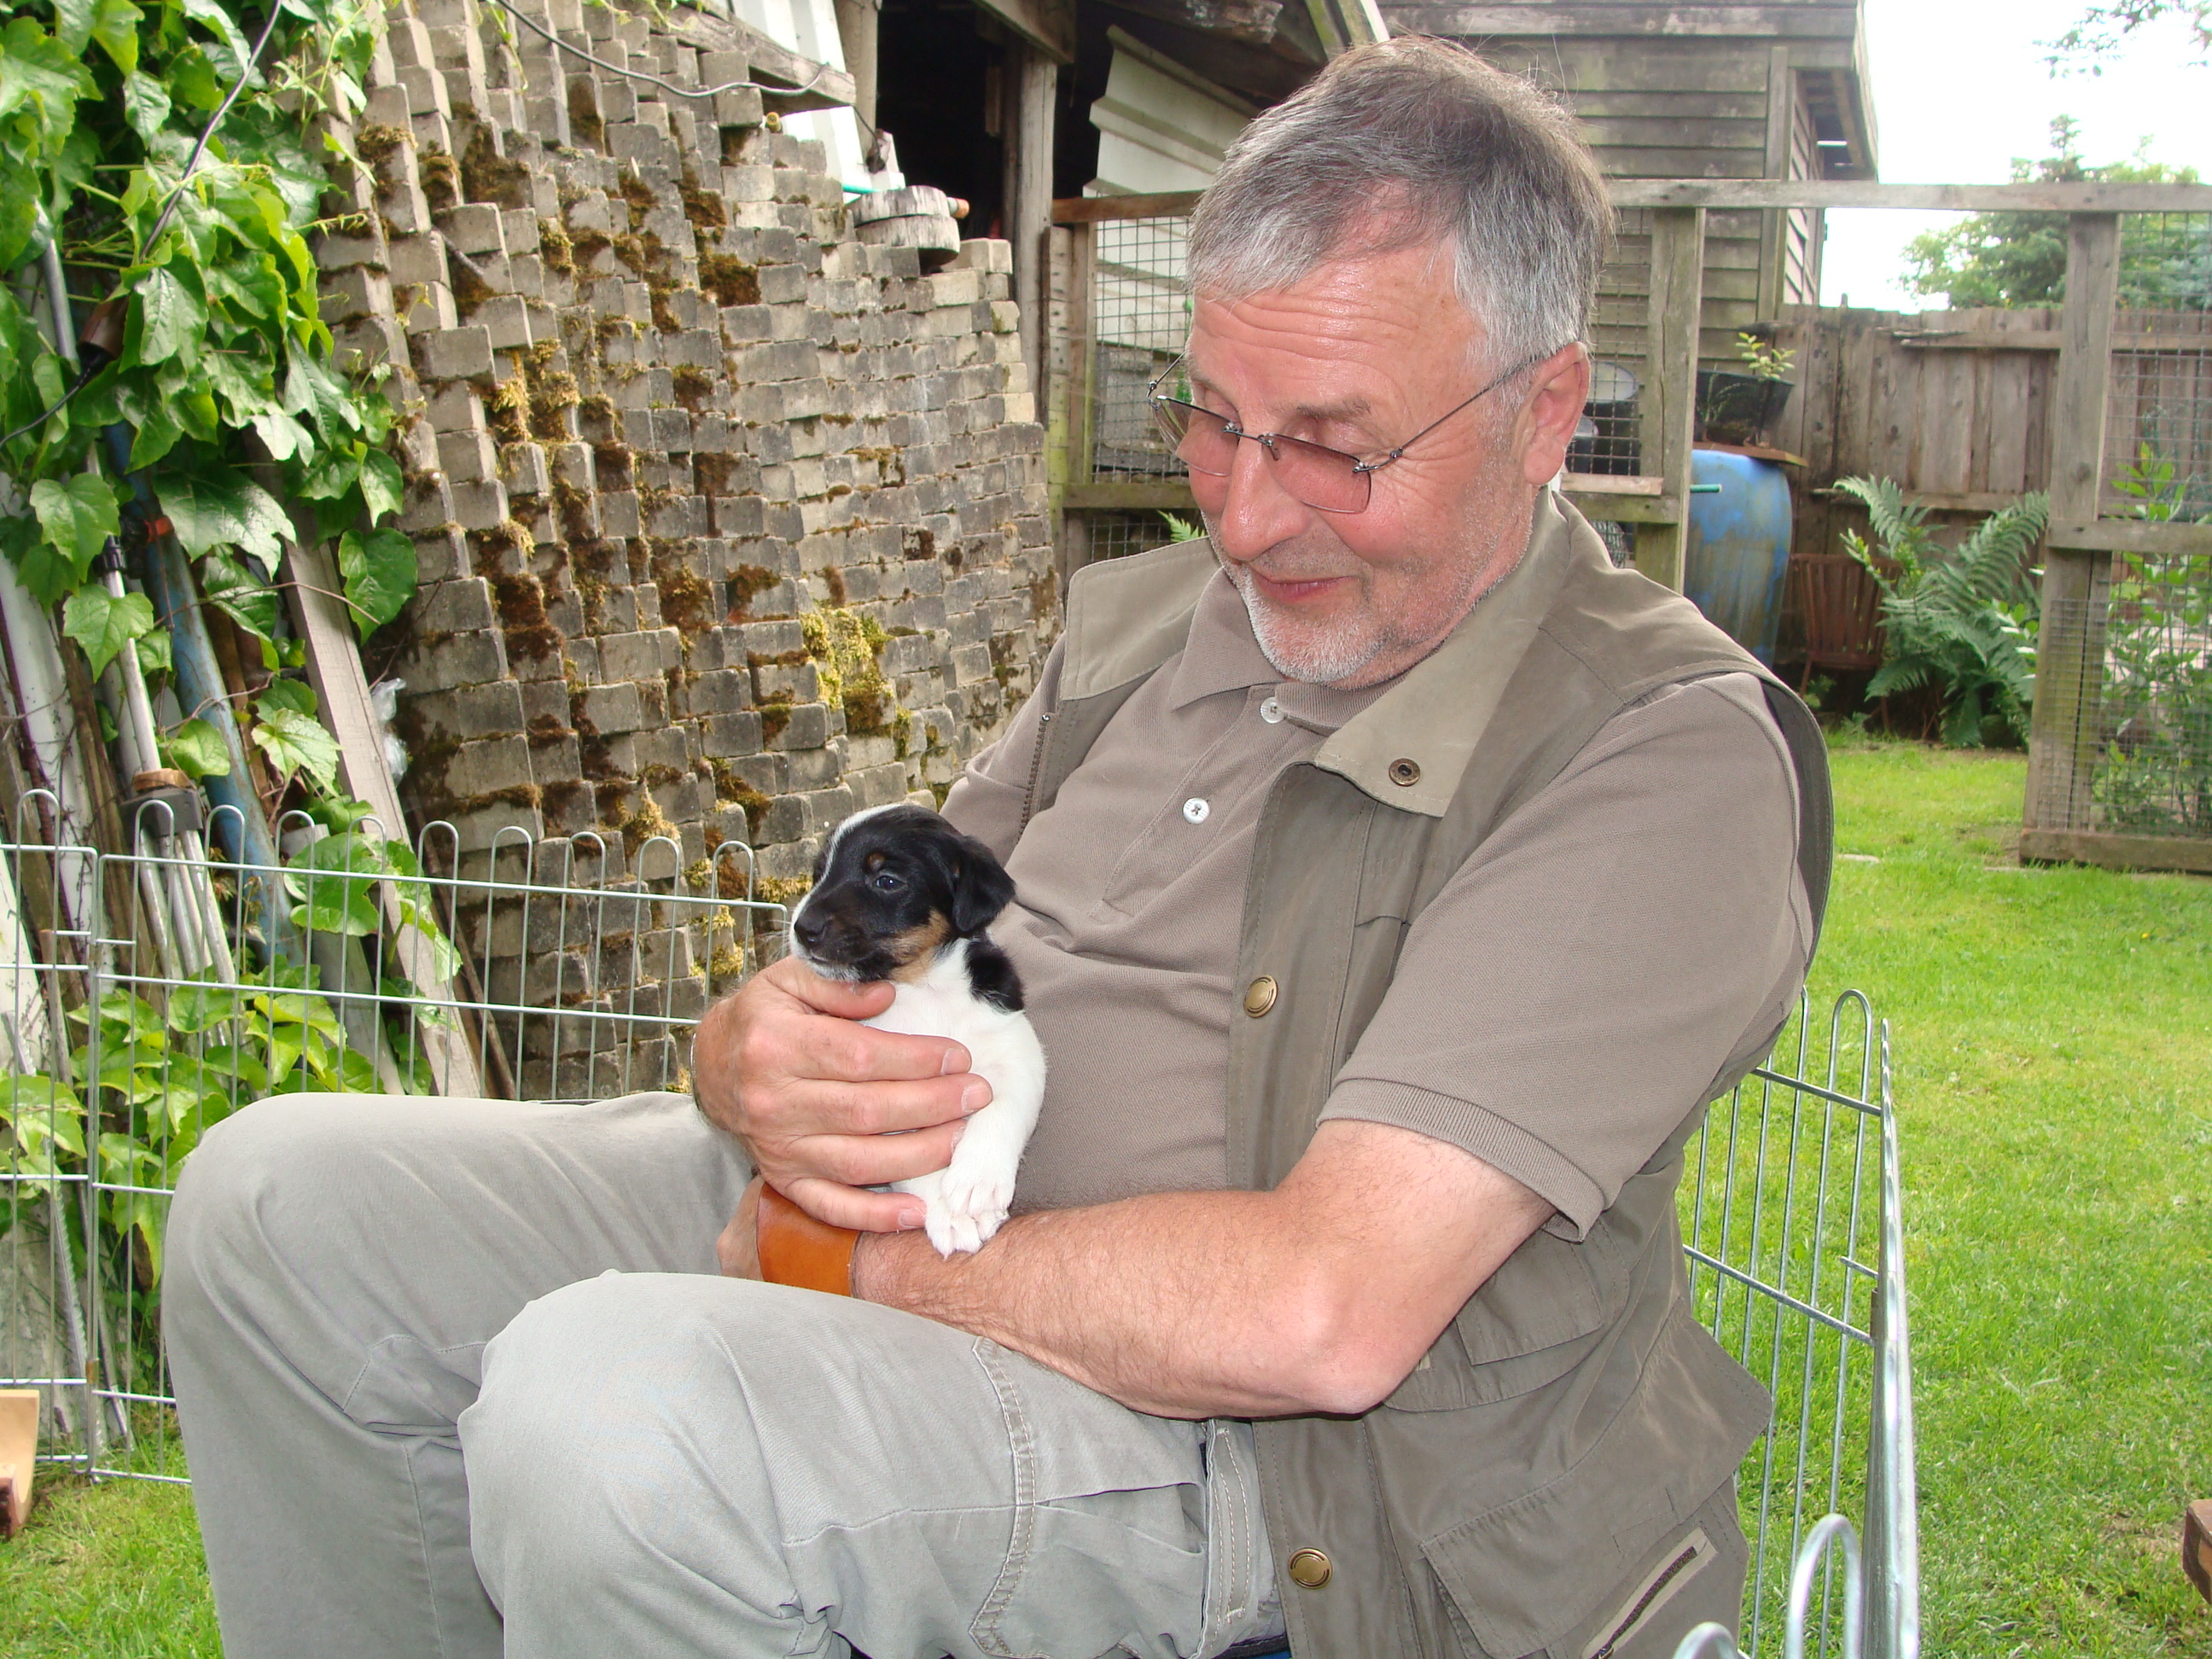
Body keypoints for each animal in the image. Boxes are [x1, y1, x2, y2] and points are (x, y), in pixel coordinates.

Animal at [787, 809, 1044, 1256]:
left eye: (887, 881)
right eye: (820, 874)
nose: (803, 929)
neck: (922, 991)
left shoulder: (1017, 1053)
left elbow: (1002, 1109)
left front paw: (978, 1180)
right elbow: (917, 1163)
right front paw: (950, 1214)